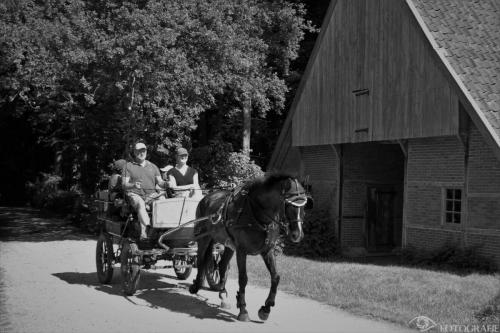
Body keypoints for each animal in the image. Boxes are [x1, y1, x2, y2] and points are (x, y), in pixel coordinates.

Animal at [188, 174, 312, 322]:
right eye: (288, 204)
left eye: (304, 205)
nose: (297, 235)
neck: (258, 215)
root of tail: (207, 197)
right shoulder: (241, 251)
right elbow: (243, 279)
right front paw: (243, 310)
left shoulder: (267, 250)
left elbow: (275, 277)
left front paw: (266, 308)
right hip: (204, 237)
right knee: (201, 260)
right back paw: (196, 286)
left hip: (228, 244)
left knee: (222, 265)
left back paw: (223, 295)